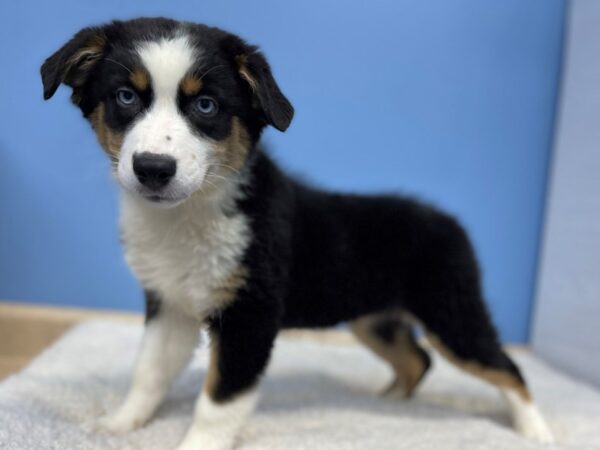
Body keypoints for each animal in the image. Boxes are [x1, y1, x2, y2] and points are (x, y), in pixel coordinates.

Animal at [42, 17, 556, 450]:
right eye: (126, 97)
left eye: (206, 105)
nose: (153, 168)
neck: (186, 217)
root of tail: (449, 220)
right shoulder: (170, 303)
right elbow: (149, 373)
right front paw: (117, 425)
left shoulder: (250, 313)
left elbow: (218, 402)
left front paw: (195, 444)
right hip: (376, 318)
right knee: (418, 359)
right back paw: (387, 402)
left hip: (452, 311)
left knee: (508, 368)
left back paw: (537, 431)